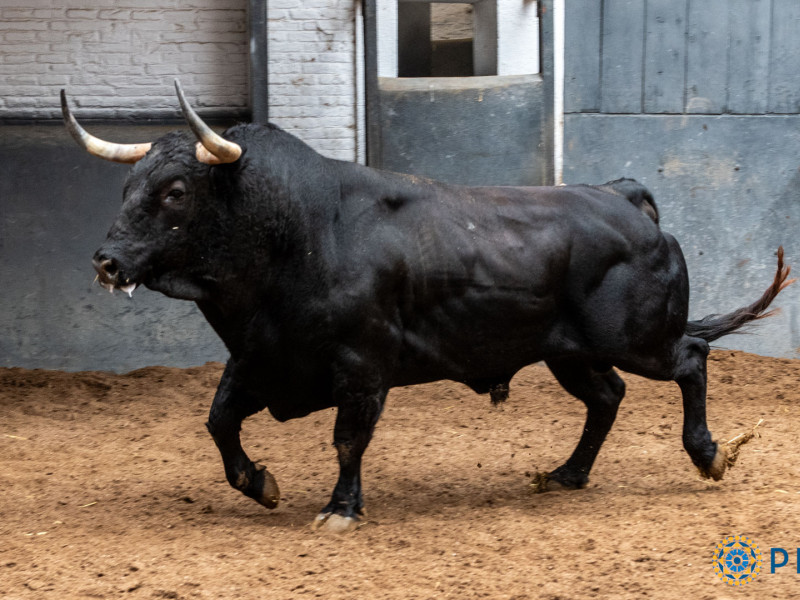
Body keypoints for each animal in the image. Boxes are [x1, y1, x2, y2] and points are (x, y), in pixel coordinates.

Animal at [64, 85, 792, 536]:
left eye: (175, 191)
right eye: (129, 187)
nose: (106, 261)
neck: (298, 232)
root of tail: (623, 195)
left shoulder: (362, 367)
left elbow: (348, 440)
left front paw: (340, 509)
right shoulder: (260, 359)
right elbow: (218, 422)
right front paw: (258, 482)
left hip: (636, 338)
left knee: (691, 358)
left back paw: (707, 454)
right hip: (569, 353)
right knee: (607, 397)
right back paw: (567, 474)